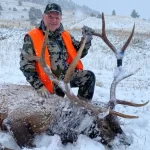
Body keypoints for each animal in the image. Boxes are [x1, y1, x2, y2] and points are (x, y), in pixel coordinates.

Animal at [0, 13, 148, 150]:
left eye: (117, 121)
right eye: (104, 126)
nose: (127, 143)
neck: (57, 122)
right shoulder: (16, 117)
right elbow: (29, 144)